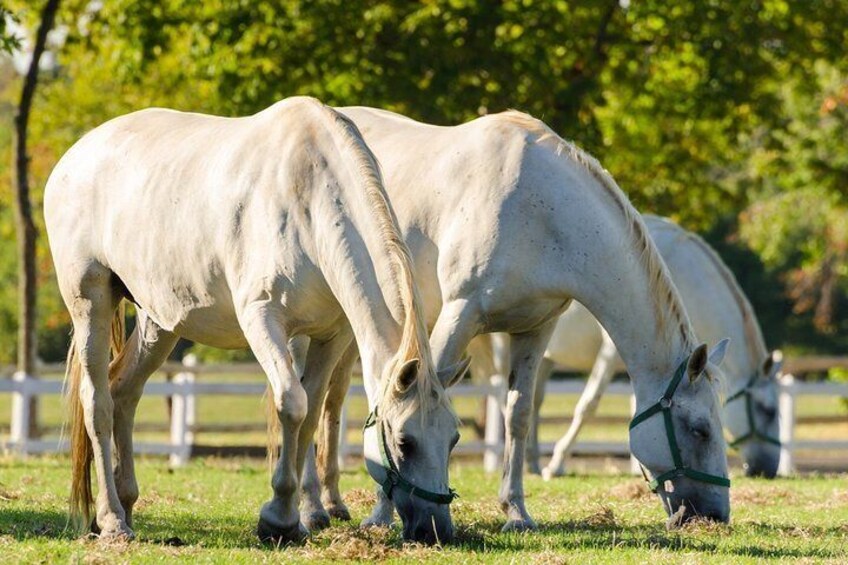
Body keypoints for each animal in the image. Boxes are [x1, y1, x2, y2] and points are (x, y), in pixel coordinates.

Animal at [44, 96, 464, 540]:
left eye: (453, 438)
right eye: (404, 442)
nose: (435, 529)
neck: (309, 199)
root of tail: (75, 157)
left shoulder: (330, 335)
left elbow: (311, 414)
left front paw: (297, 517)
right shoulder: (263, 320)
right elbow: (292, 404)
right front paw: (278, 517)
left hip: (160, 322)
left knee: (124, 392)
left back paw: (126, 505)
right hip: (90, 302)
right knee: (98, 402)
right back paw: (111, 521)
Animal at [302, 107, 732, 532]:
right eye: (700, 429)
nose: (716, 514)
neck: (539, 210)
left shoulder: (535, 329)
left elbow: (519, 415)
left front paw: (516, 512)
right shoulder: (459, 315)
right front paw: (380, 516)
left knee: (330, 401)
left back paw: (332, 502)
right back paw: (316, 506)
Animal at [528, 216, 780, 480]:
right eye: (768, 411)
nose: (769, 470)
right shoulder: (612, 353)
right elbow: (588, 405)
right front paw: (556, 464)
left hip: (544, 356)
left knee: (534, 402)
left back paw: (531, 462)